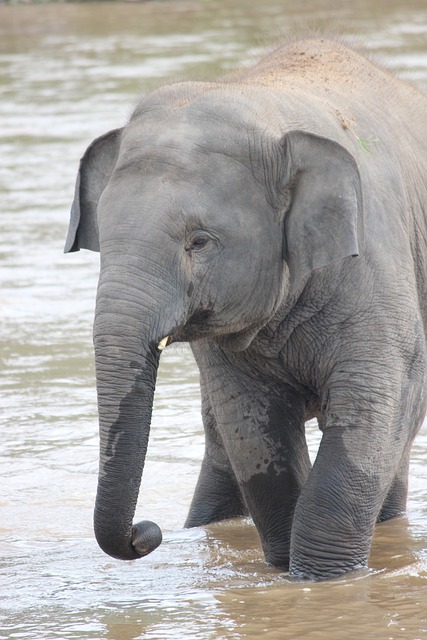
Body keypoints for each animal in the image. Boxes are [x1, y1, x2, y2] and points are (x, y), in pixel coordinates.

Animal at [64, 37, 427, 584]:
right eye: (103, 241)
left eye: (199, 241)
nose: (146, 534)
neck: (267, 109)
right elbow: (253, 430)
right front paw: (284, 572)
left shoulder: (377, 266)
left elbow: (368, 411)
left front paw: (319, 583)